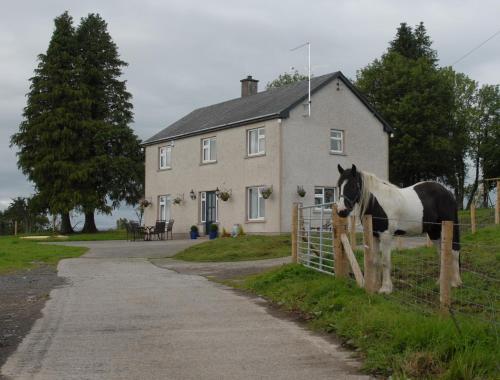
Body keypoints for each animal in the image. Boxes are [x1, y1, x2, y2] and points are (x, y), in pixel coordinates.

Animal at [336, 164, 460, 294]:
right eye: (339, 185)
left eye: (353, 185)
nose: (341, 211)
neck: (377, 203)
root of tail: (448, 192)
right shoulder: (374, 235)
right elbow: (376, 261)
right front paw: (376, 286)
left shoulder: (386, 236)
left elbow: (385, 262)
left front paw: (385, 288)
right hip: (434, 232)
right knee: (442, 254)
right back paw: (441, 282)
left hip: (450, 228)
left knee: (454, 251)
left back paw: (455, 282)